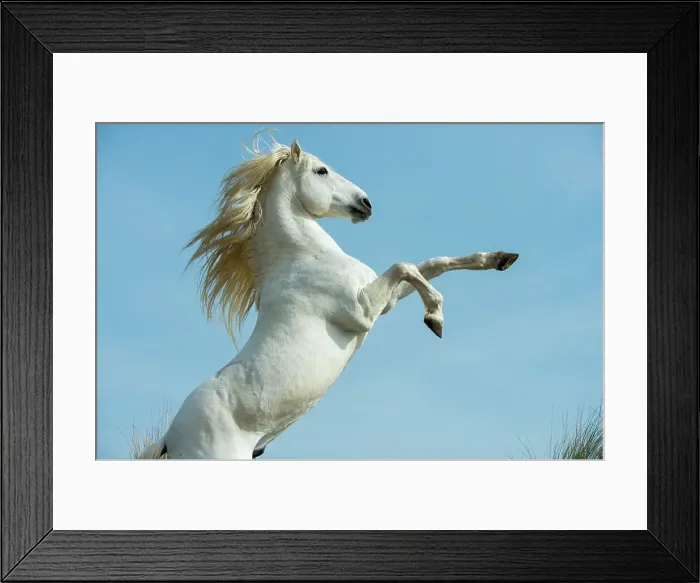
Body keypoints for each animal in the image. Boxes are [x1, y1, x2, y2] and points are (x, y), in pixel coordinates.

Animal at [137, 136, 519, 460]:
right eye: (321, 170)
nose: (366, 204)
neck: (302, 257)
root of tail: (169, 439)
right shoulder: (362, 311)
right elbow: (406, 265)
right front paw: (435, 318)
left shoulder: (383, 301)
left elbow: (431, 264)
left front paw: (500, 258)